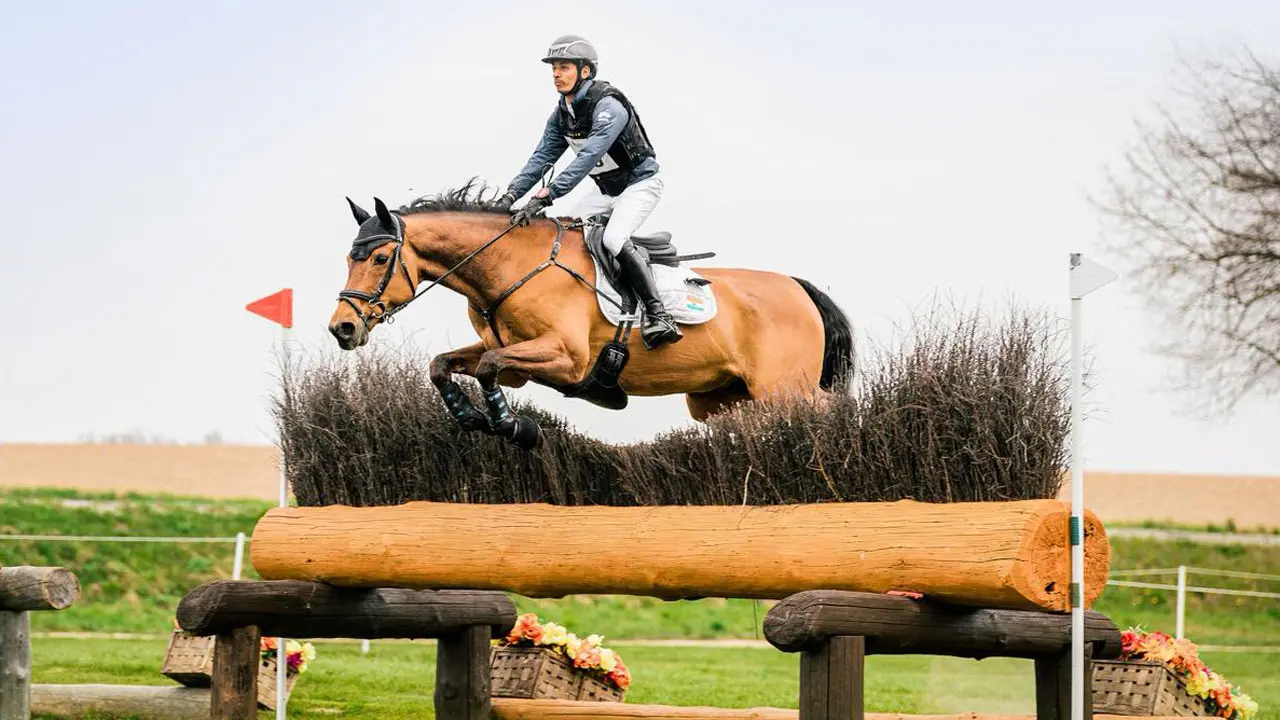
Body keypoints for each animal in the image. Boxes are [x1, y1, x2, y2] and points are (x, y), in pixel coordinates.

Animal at [328, 182, 854, 450]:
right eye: (348, 258)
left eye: (379, 258)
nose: (342, 328)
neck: (509, 265)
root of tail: (798, 287)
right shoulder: (510, 353)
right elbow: (443, 365)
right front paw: (469, 415)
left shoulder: (566, 358)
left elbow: (488, 368)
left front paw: (512, 426)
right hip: (723, 401)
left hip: (785, 390)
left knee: (828, 411)